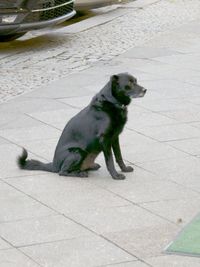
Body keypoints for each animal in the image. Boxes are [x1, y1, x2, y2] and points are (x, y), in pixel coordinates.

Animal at [17, 73, 146, 180]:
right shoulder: (105, 139)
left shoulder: (114, 137)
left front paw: (124, 169)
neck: (112, 102)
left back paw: (88, 168)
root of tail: (53, 165)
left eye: (136, 80)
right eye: (130, 83)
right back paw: (80, 174)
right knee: (62, 172)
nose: (145, 90)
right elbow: (110, 160)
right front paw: (115, 175)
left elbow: (119, 156)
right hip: (78, 152)